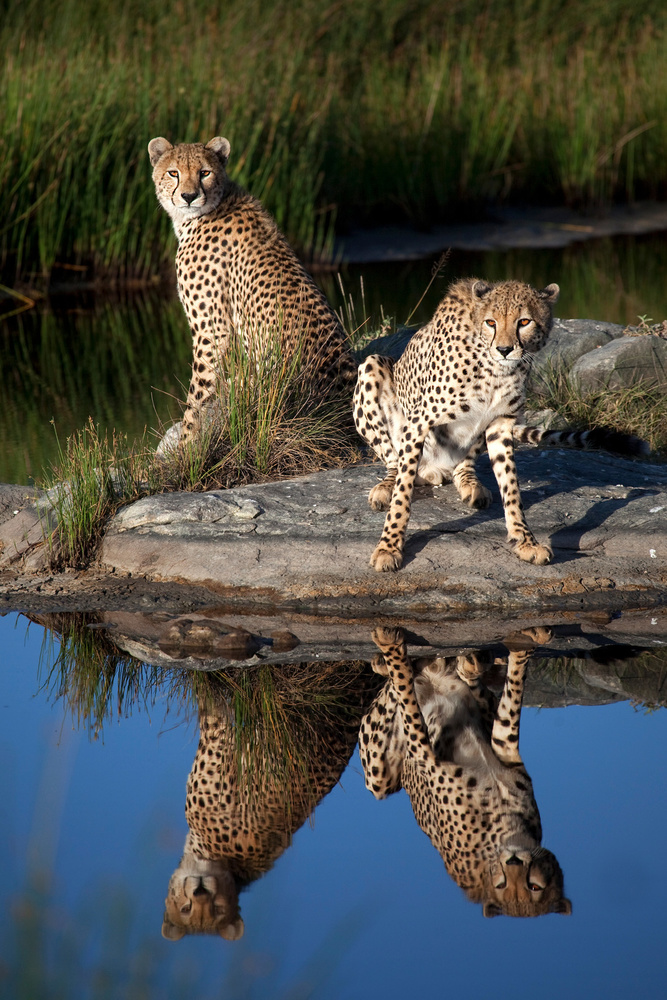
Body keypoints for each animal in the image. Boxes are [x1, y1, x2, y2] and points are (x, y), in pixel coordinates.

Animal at [149, 135, 358, 444]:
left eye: (204, 172)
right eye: (173, 173)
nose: (188, 196)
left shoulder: (212, 331)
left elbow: (198, 393)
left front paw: (186, 442)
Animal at [354, 278, 564, 572]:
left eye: (524, 321)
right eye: (491, 322)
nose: (504, 349)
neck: (494, 370)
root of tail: (433, 470)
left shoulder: (501, 423)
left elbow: (511, 488)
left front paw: (525, 541)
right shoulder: (418, 423)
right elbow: (402, 494)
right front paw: (389, 546)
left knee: (462, 465)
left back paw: (470, 485)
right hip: (371, 366)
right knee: (393, 463)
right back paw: (385, 487)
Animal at [360, 628, 576, 916]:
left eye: (533, 887)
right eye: (502, 885)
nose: (514, 861)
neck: (503, 825)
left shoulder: (501, 743)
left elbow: (513, 696)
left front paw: (522, 649)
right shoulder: (422, 753)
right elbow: (405, 693)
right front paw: (392, 648)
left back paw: (468, 664)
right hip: (378, 778)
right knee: (397, 687)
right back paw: (393, 659)